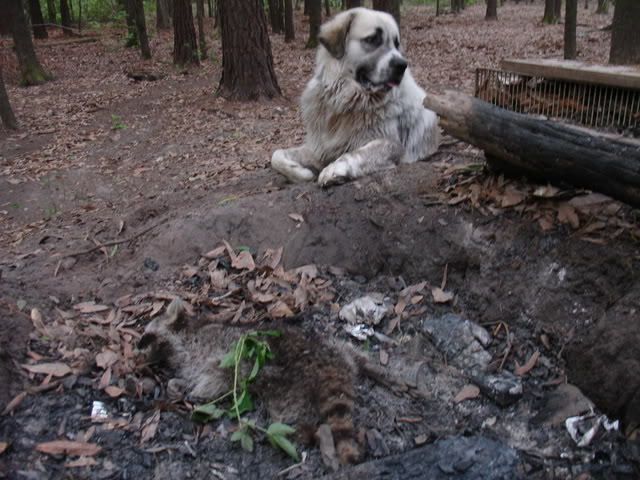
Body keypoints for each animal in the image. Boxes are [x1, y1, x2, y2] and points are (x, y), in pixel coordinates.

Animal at [271, 7, 439, 187]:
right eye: (373, 39)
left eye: (396, 43)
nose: (402, 65)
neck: (345, 100)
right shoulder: (319, 149)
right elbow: (276, 155)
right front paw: (300, 172)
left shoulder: (390, 143)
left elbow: (355, 153)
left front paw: (333, 170)